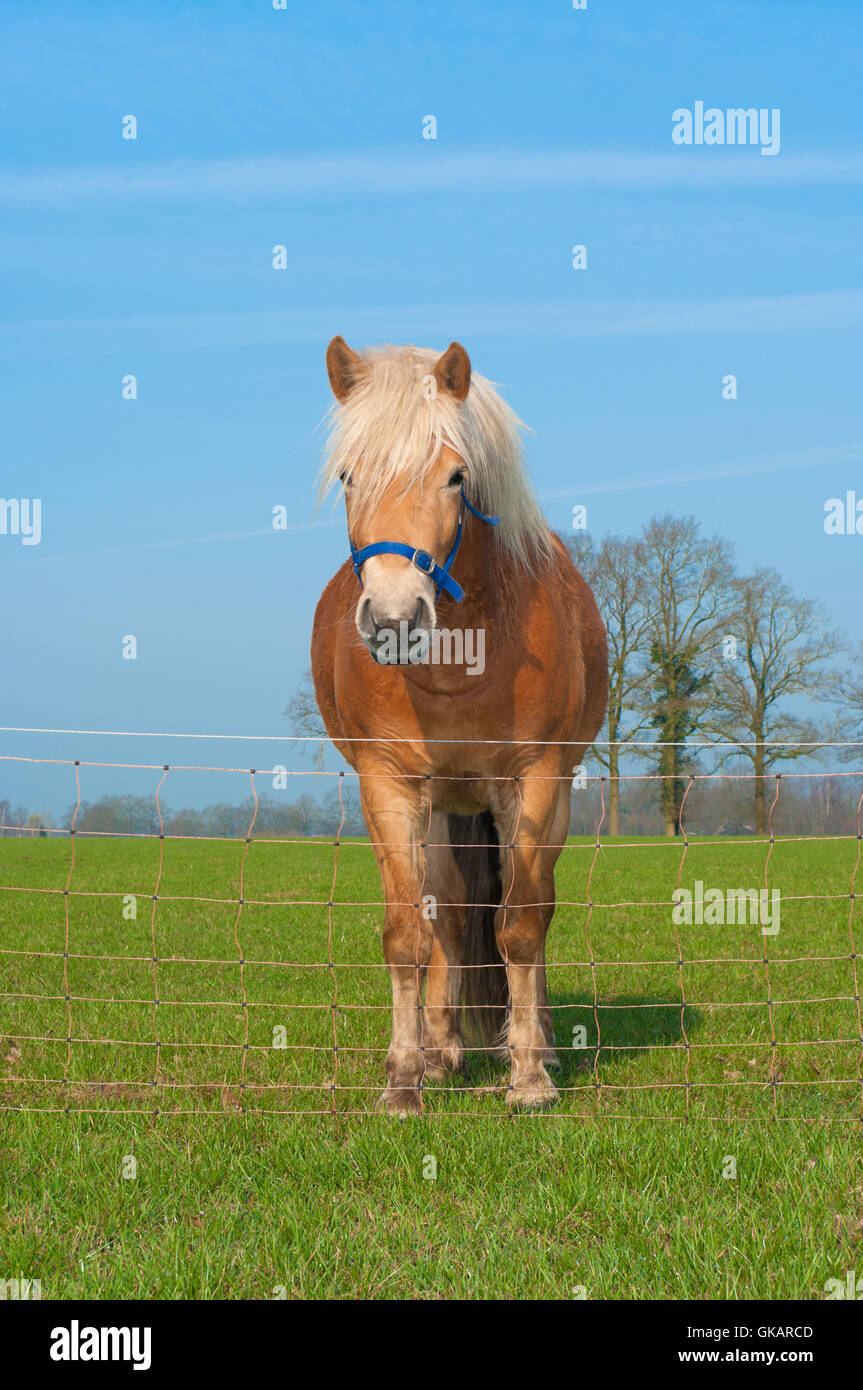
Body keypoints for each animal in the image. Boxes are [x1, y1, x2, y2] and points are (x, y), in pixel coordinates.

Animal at [311, 337, 607, 1113]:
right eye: (349, 476)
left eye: (455, 476)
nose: (393, 619)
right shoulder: (389, 786)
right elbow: (408, 935)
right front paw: (404, 1079)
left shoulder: (532, 784)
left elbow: (521, 926)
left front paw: (528, 1077)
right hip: (442, 805)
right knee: (444, 916)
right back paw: (443, 1051)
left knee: (532, 908)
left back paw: (536, 1047)